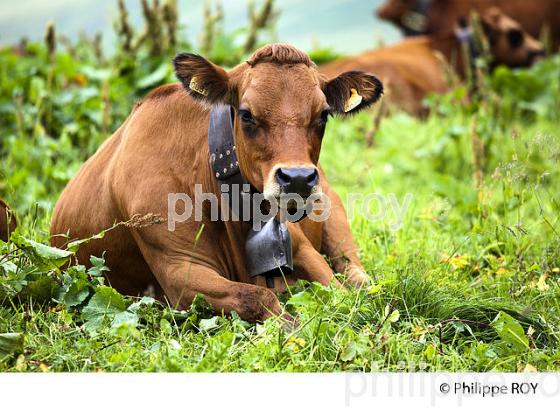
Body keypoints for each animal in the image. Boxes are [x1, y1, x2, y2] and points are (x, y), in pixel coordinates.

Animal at [51, 42, 384, 324]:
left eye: (324, 114)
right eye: (247, 115)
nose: (298, 178)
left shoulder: (302, 248)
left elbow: (340, 294)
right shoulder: (179, 272)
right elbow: (257, 297)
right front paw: (293, 326)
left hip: (332, 208)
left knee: (352, 268)